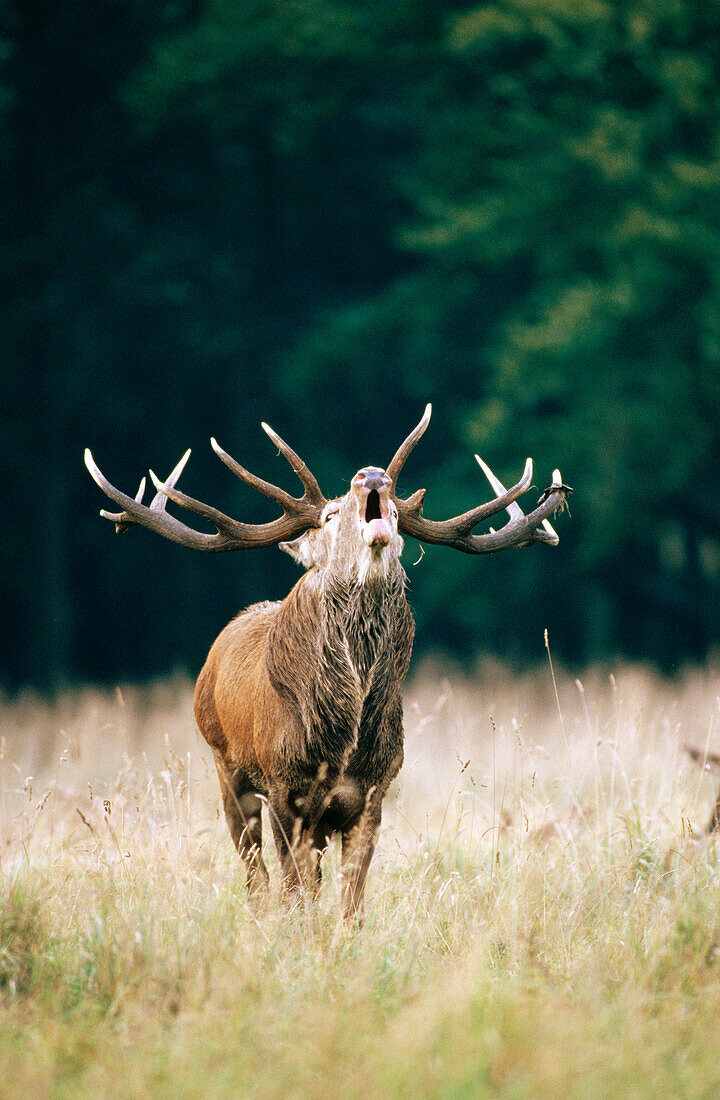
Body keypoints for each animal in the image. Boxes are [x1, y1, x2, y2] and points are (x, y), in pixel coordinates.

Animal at [82, 407, 567, 919]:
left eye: (397, 515)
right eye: (331, 516)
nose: (372, 475)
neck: (341, 738)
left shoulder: (372, 792)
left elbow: (350, 901)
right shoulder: (284, 791)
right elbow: (294, 892)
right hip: (225, 765)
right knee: (254, 872)